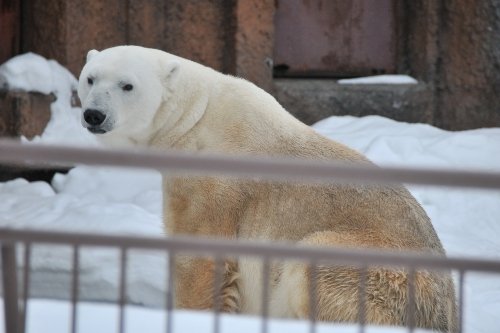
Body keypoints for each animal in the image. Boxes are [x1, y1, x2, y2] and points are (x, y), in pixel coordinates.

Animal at [78, 44, 458, 330]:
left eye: (127, 85)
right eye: (90, 78)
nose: (94, 115)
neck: (194, 116)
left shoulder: (211, 184)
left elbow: (200, 258)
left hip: (380, 276)